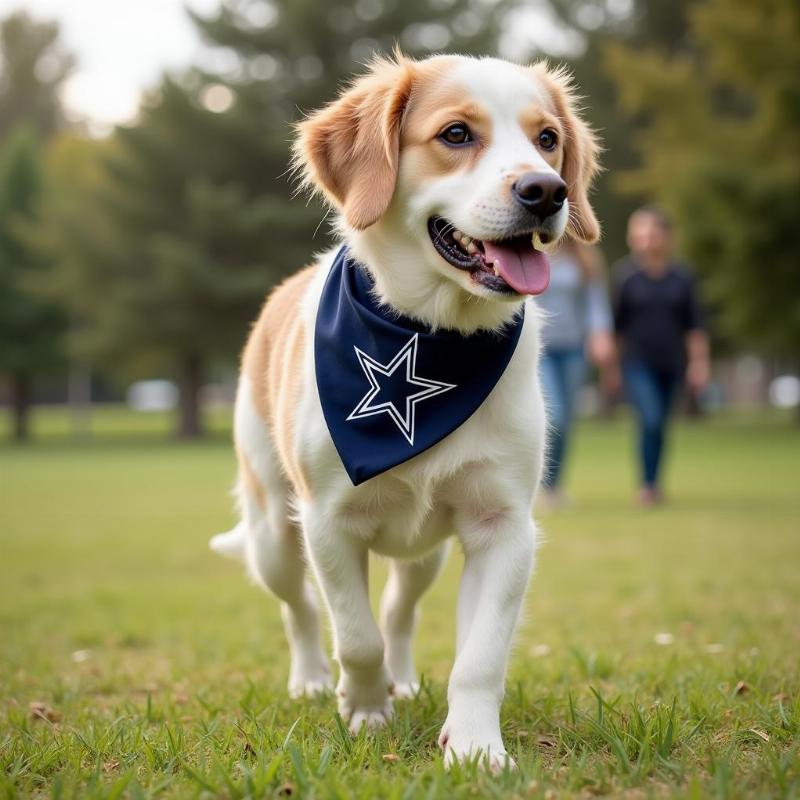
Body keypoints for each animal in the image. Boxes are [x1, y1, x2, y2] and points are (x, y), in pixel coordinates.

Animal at [212, 51, 600, 768]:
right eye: (456, 134)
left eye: (548, 138)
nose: (547, 190)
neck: (429, 334)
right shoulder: (328, 522)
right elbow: (353, 634)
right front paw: (364, 711)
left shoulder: (503, 525)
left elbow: (478, 657)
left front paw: (474, 746)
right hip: (274, 531)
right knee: (300, 609)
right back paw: (313, 680)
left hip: (426, 553)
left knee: (399, 609)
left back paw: (405, 680)